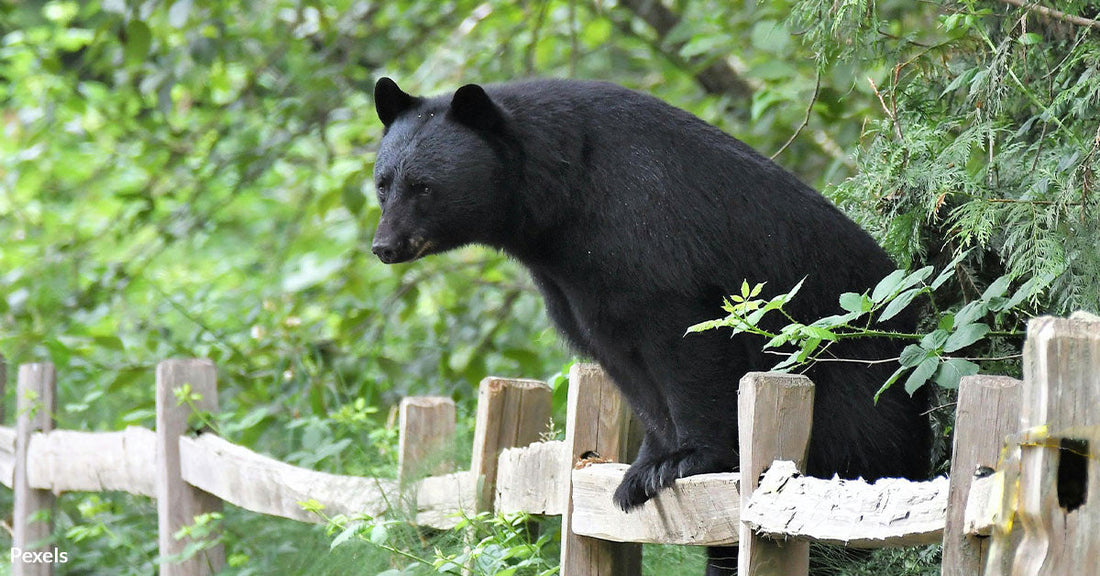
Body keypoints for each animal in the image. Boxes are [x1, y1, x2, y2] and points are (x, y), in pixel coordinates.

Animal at [370, 77, 932, 575]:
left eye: (424, 186)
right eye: (382, 184)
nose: (384, 246)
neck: (562, 202)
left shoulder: (651, 234)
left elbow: (687, 342)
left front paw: (687, 459)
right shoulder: (574, 285)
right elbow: (624, 364)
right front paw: (641, 470)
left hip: (860, 387)